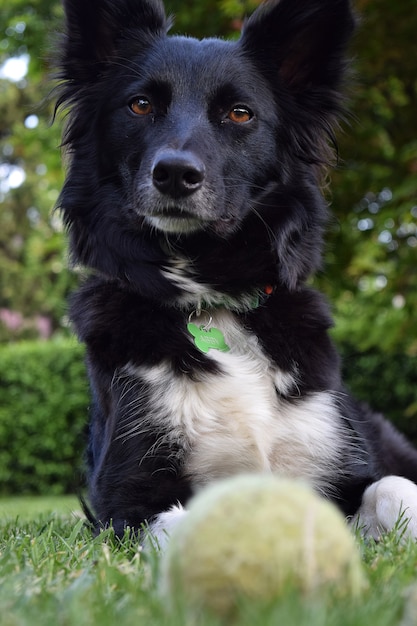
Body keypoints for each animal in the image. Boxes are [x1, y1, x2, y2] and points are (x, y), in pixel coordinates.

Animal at [56, 0, 417, 544]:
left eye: (240, 113)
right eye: (139, 105)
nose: (175, 174)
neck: (213, 296)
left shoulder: (341, 466)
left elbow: (393, 487)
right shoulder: (128, 498)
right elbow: (188, 523)